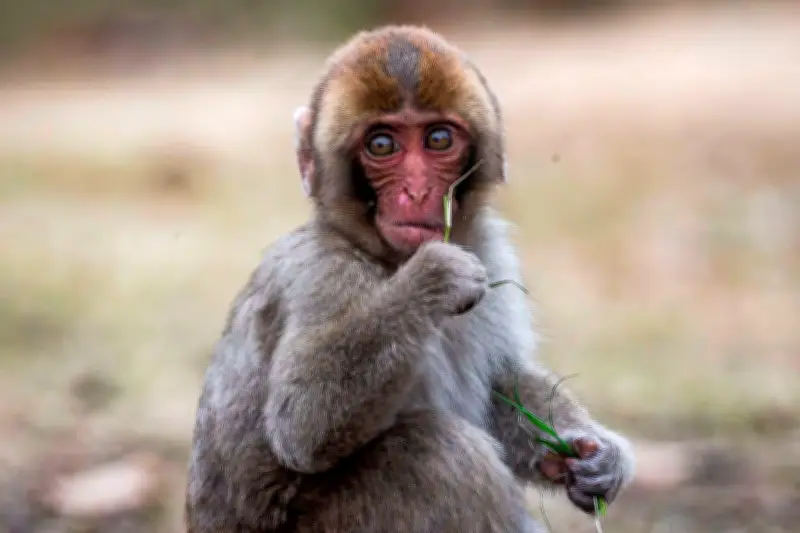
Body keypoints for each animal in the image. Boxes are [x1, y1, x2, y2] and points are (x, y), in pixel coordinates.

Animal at [185, 24, 635, 533]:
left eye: (438, 139)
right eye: (381, 145)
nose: (417, 191)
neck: (384, 258)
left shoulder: (489, 248)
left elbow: (504, 383)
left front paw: (594, 454)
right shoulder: (322, 274)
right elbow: (302, 424)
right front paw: (433, 280)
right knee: (436, 453)